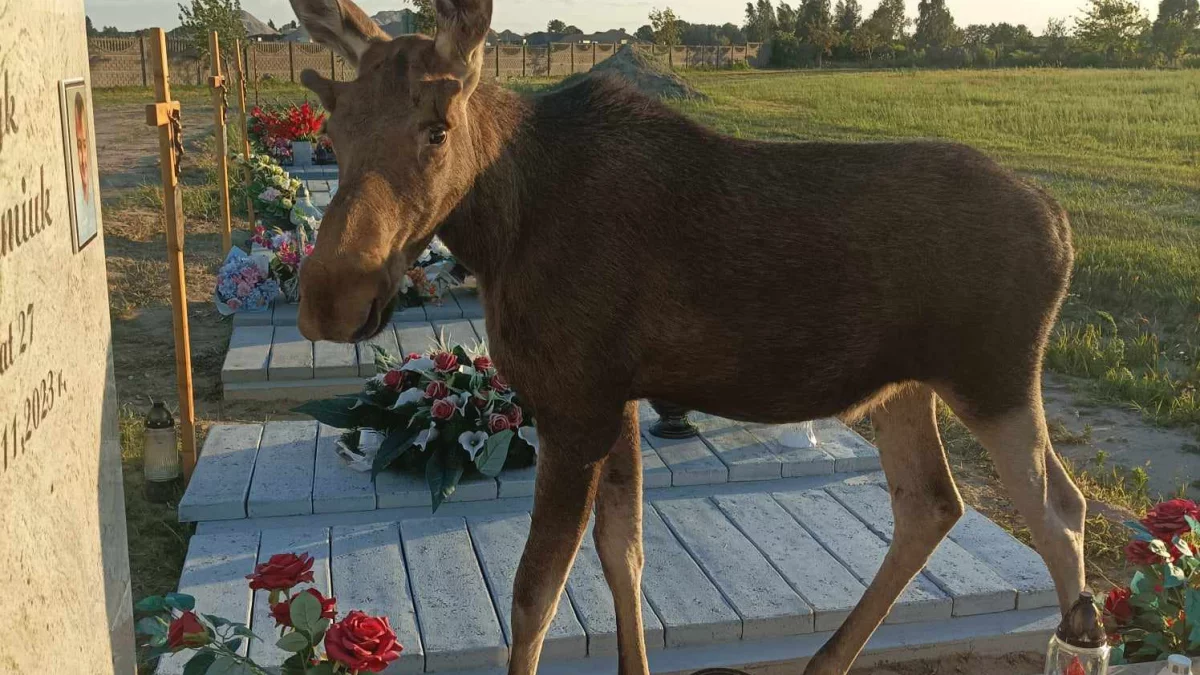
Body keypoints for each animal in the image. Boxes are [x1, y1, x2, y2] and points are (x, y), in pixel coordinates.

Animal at [292, 1, 1089, 667]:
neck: (498, 234)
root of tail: (1060, 221)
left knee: (1060, 511)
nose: (332, 295)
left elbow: (533, 595)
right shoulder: (614, 395)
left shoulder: (576, 401)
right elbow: (624, 555)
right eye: (334, 130)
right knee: (932, 502)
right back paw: (828, 658)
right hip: (903, 386)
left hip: (996, 377)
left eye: (437, 128)